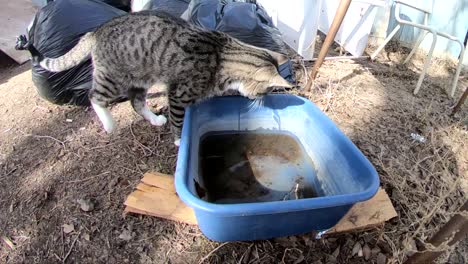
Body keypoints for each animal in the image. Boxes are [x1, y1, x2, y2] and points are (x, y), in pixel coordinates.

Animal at [38, 10, 290, 145]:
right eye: (266, 90)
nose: (261, 100)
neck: (223, 55)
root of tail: (97, 29)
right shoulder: (178, 95)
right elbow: (178, 120)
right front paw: (179, 139)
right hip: (113, 78)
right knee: (95, 97)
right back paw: (109, 123)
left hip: (141, 79)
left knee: (137, 103)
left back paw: (155, 119)